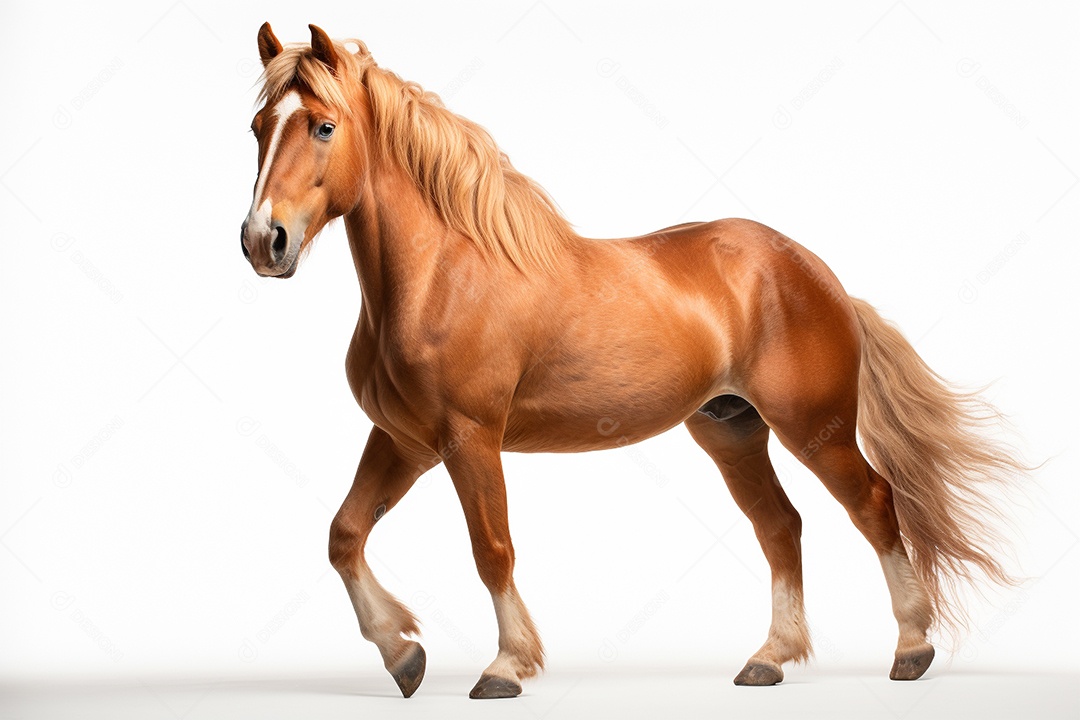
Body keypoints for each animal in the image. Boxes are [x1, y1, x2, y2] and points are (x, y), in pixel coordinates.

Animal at [240, 23, 1025, 699]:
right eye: (257, 128)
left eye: (323, 126)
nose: (262, 241)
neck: (443, 273)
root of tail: (816, 275)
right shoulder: (404, 440)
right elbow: (345, 535)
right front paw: (403, 655)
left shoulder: (469, 438)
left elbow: (492, 548)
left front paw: (506, 666)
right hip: (732, 430)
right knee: (781, 527)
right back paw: (769, 659)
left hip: (814, 428)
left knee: (873, 503)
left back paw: (911, 647)